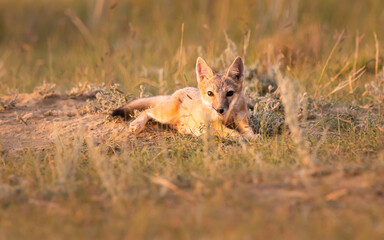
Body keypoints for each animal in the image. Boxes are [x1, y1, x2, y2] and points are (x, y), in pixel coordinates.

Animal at [111, 56, 255, 139]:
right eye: (210, 93)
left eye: (229, 93)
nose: (219, 110)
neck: (227, 117)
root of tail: (176, 92)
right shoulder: (214, 124)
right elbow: (232, 133)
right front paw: (241, 137)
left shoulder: (242, 119)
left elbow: (248, 131)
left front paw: (252, 137)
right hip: (164, 115)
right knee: (148, 111)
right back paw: (137, 124)